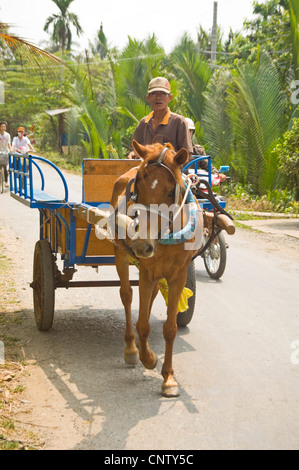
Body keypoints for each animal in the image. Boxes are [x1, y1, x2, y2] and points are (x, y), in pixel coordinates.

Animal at [110, 140, 204, 396]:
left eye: (172, 192)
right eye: (138, 187)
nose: (142, 244)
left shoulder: (178, 275)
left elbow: (170, 328)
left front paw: (168, 378)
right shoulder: (146, 270)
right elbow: (142, 323)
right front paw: (148, 358)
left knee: (150, 297)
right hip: (121, 254)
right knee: (126, 295)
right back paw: (131, 348)